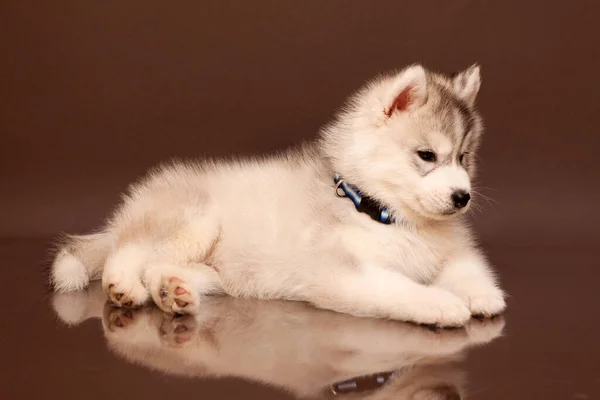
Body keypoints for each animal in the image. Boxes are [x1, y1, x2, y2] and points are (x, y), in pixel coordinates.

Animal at [50, 64, 506, 326]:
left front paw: (481, 294)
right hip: (193, 220)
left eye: (464, 158)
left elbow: (468, 267)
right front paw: (441, 303)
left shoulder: (451, 249)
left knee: (163, 266)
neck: (384, 214)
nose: (462, 197)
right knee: (126, 253)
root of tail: (127, 214)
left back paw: (172, 291)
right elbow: (397, 288)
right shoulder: (342, 271)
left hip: (222, 268)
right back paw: (125, 287)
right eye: (427, 156)